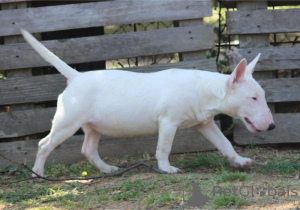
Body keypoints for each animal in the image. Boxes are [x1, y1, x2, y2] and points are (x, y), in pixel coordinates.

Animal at [20, 29, 274, 174]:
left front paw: (240, 161)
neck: (204, 89)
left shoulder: (205, 123)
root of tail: (76, 76)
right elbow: (164, 147)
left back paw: (107, 169)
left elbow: (224, 143)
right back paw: (38, 173)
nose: (272, 126)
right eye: (253, 98)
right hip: (67, 121)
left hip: (92, 126)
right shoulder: (168, 122)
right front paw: (167, 169)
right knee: (44, 144)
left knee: (88, 149)